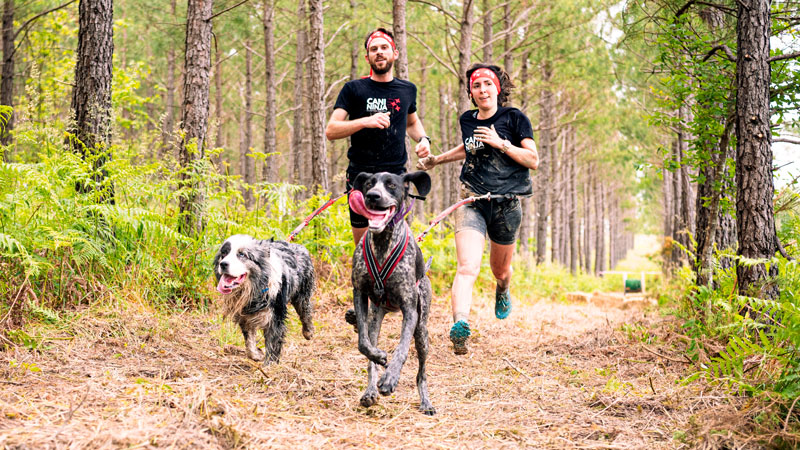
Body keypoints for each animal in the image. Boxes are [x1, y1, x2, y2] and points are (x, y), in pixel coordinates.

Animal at [212, 236, 316, 366]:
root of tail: (298, 246)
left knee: (306, 312)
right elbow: (249, 341)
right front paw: (256, 355)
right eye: (224, 253)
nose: (223, 264)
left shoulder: (275, 316)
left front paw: (270, 365)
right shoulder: (245, 316)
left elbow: (273, 342)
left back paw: (308, 332)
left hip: (303, 294)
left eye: (242, 254)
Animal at [350, 171, 438, 416]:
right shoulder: (359, 294)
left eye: (391, 185)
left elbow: (402, 348)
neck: (383, 242)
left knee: (421, 373)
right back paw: (370, 390)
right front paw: (379, 358)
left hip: (422, 332)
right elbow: (363, 344)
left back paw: (426, 402)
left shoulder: (410, 311)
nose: (372, 196)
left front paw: (390, 378)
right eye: (369, 183)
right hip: (375, 319)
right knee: (369, 353)